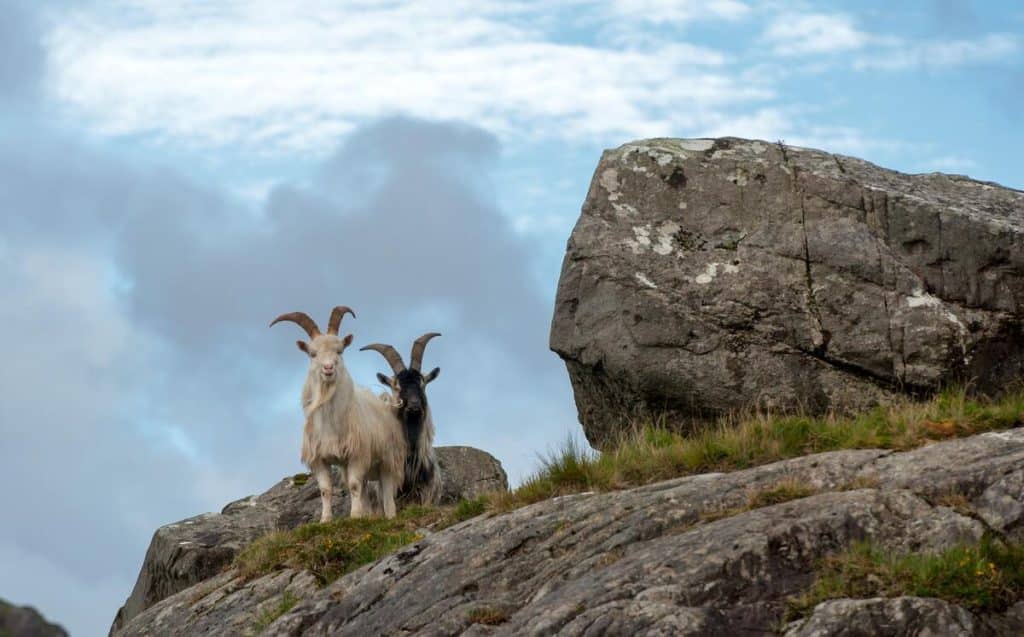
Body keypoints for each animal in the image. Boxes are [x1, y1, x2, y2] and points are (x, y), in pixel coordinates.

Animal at [271, 306, 406, 521]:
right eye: (313, 353)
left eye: (340, 350)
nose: (328, 368)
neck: (331, 423)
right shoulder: (320, 459)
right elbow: (326, 490)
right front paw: (325, 519)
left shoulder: (357, 454)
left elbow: (354, 485)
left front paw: (355, 516)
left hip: (387, 459)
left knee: (386, 490)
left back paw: (389, 515)